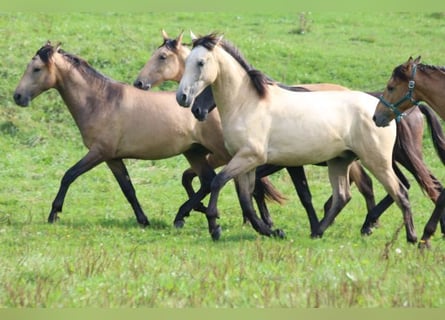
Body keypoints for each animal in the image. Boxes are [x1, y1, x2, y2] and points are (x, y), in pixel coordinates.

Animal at [13, 41, 286, 229]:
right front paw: (143, 219)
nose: (18, 96)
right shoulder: (112, 158)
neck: (101, 101)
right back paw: (188, 214)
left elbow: (68, 176)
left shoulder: (98, 153)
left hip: (225, 152)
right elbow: (128, 189)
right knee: (210, 180)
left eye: (36, 68)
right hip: (195, 153)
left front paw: (54, 213)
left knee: (243, 182)